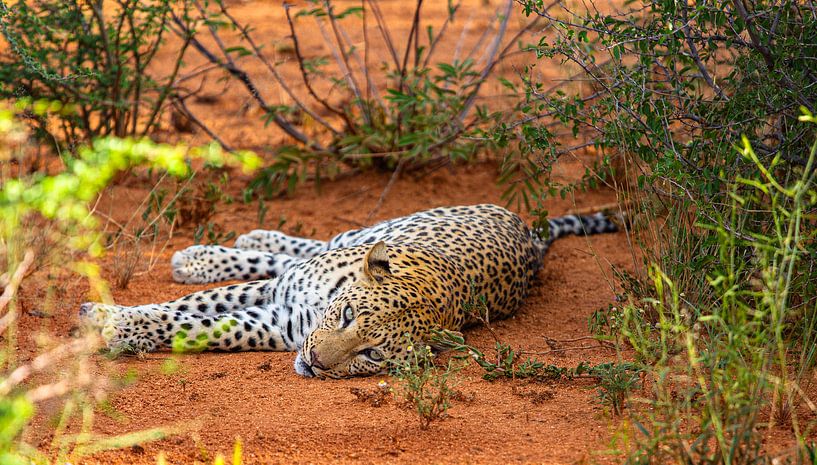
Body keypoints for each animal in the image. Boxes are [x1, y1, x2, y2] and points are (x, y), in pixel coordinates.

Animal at [79, 204, 619, 378]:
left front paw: (119, 328)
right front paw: (112, 318)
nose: (316, 362)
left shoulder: (280, 325)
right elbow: (184, 308)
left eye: (372, 355)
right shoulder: (284, 299)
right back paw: (213, 253)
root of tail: (532, 235)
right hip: (364, 233)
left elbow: (207, 327)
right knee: (309, 247)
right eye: (346, 317)